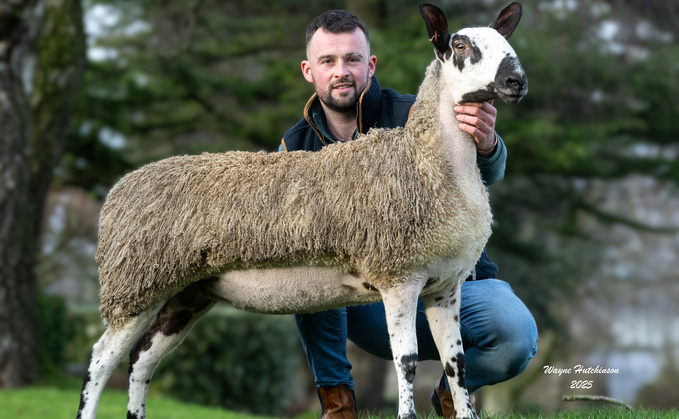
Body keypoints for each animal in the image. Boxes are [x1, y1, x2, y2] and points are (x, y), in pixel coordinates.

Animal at [77, 3, 528, 419]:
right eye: (461, 46)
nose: (516, 81)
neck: (426, 159)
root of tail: (121, 187)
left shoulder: (444, 286)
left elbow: (456, 365)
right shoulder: (398, 277)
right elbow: (407, 362)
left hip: (187, 293)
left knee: (141, 360)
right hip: (136, 284)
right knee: (100, 360)